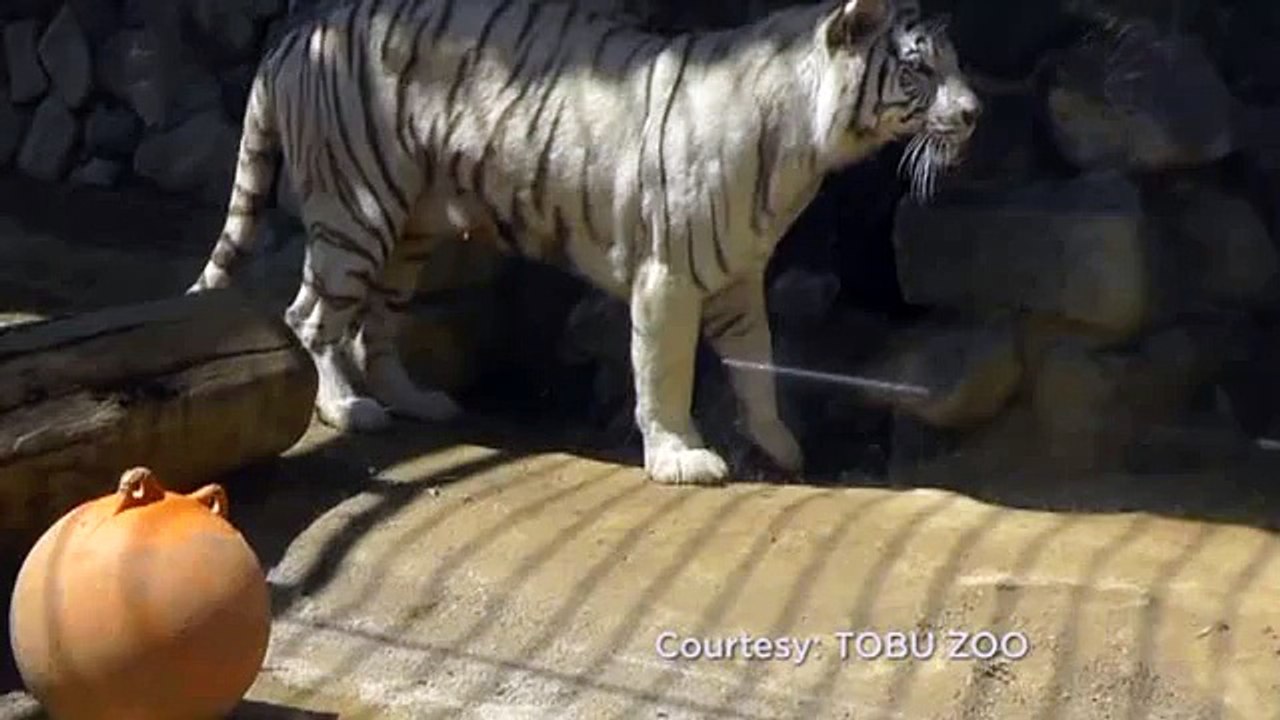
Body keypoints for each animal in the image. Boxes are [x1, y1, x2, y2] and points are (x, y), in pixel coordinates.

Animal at [186, 0, 981, 486]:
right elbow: (664, 373)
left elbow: (759, 365)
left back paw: (418, 402)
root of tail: (297, 33)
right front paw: (681, 458)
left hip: (409, 229)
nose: (975, 112)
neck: (807, 147)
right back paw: (347, 408)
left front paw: (781, 445)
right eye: (919, 68)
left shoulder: (737, 276)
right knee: (311, 316)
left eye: (954, 61)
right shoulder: (668, 277)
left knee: (374, 325)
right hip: (355, 211)